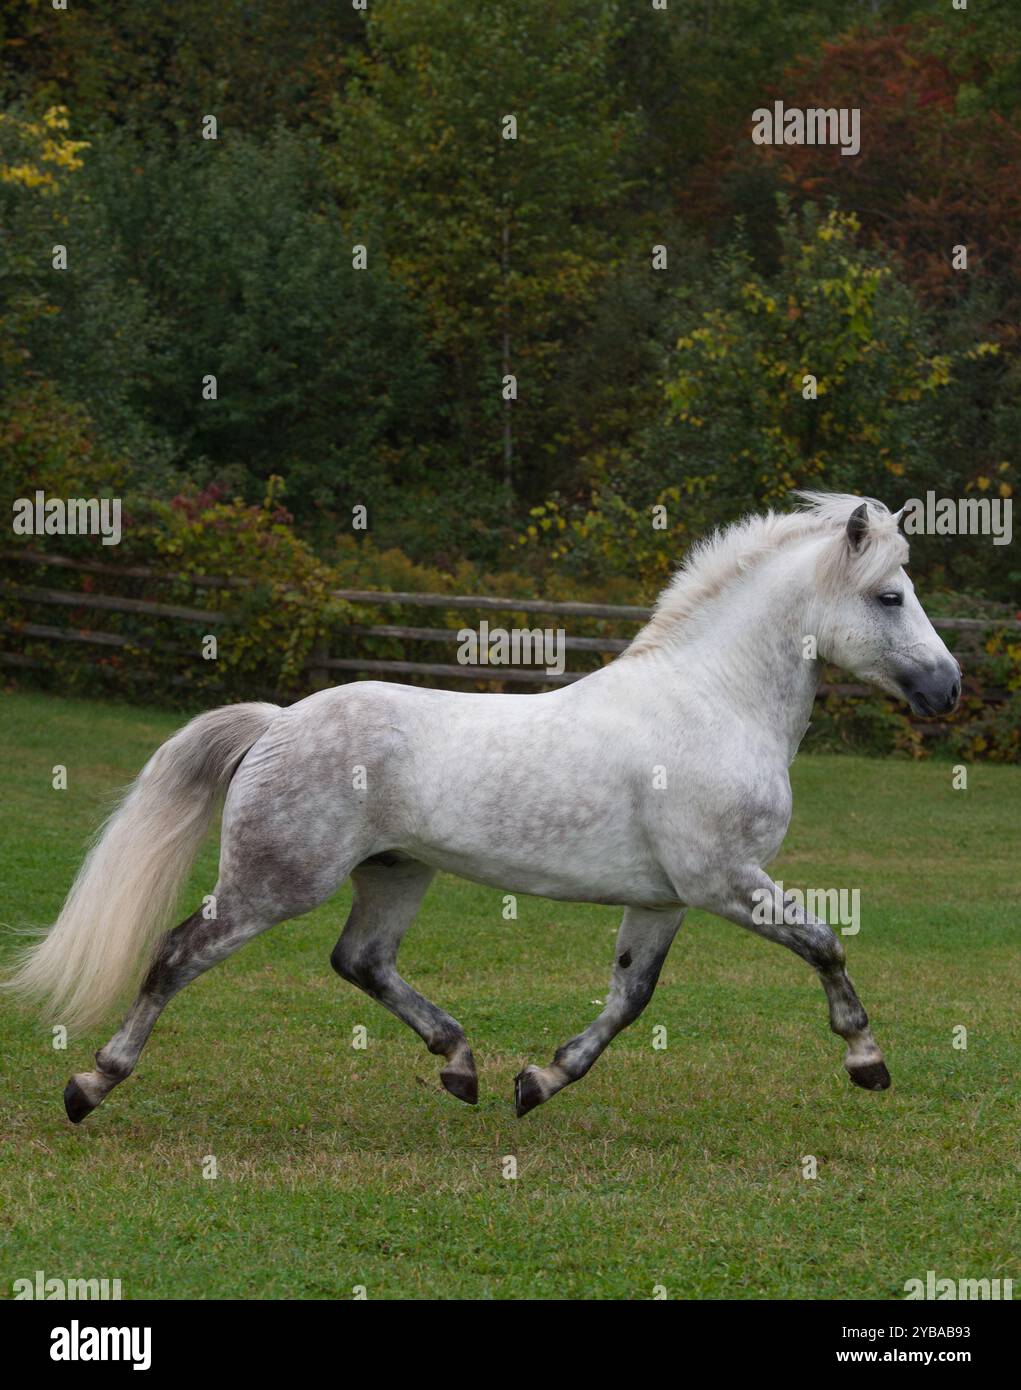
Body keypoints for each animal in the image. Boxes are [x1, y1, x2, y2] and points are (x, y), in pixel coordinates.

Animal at [7, 494, 961, 1123]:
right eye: (888, 596)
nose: (946, 688)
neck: (712, 701)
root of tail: (278, 722)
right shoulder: (724, 880)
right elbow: (825, 945)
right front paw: (866, 1062)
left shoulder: (664, 898)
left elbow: (629, 997)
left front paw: (537, 1081)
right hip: (274, 882)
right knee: (177, 956)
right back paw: (90, 1085)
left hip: (393, 874)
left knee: (361, 962)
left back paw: (460, 1066)